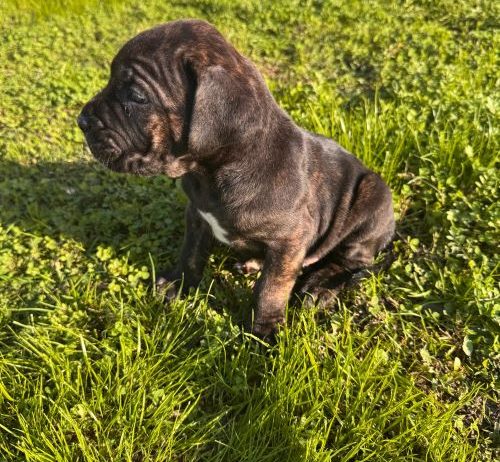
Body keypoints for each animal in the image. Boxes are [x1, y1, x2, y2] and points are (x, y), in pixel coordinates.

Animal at [78, 19, 396, 336]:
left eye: (137, 97)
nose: (81, 121)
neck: (212, 172)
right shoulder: (197, 215)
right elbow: (190, 253)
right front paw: (178, 285)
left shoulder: (290, 241)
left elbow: (272, 287)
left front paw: (267, 328)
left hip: (372, 200)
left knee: (351, 262)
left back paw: (319, 288)